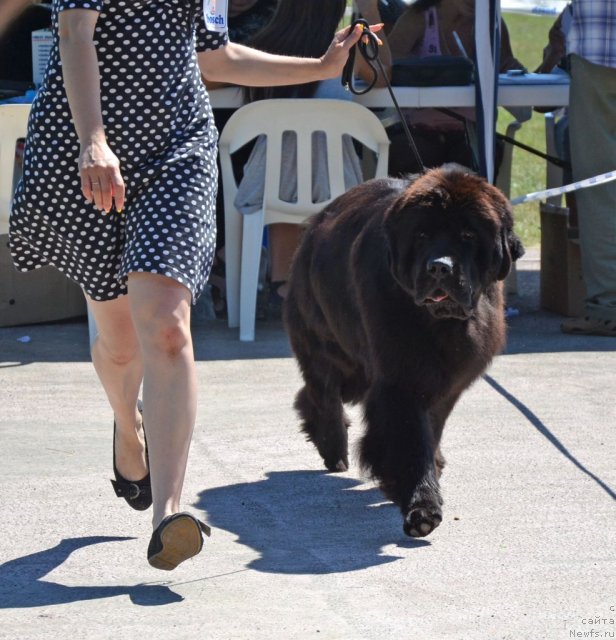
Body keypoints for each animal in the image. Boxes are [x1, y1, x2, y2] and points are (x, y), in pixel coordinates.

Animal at [284, 164, 524, 536]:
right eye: (422, 235)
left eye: (468, 235)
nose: (440, 266)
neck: (439, 322)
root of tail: (317, 220)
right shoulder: (401, 377)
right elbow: (410, 438)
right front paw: (422, 507)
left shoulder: (451, 378)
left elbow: (433, 426)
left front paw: (432, 470)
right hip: (326, 341)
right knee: (324, 389)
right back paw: (333, 447)